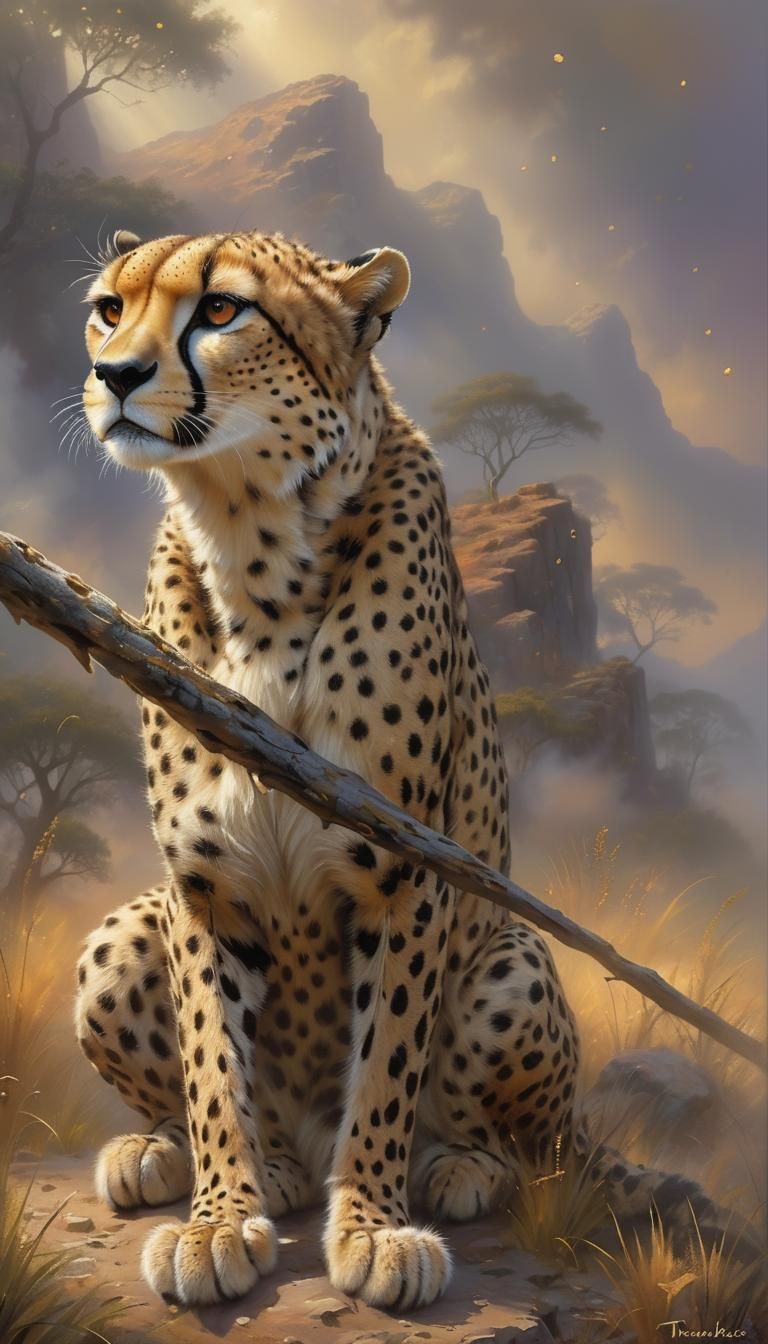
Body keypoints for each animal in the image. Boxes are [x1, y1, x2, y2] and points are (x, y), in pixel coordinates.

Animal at [73, 228, 749, 1312]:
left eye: (220, 310)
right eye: (108, 309)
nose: (114, 375)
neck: (249, 544)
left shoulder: (405, 872)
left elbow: (387, 1061)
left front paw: (374, 1229)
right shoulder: (200, 887)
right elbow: (213, 1062)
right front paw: (219, 1219)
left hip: (512, 962)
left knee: (530, 1146)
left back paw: (454, 1166)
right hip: (121, 937)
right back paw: (192, 1155)